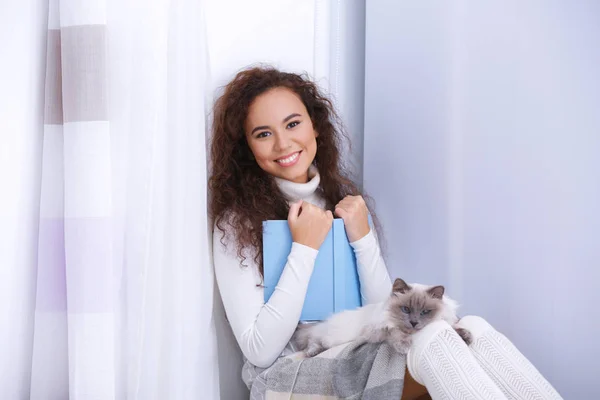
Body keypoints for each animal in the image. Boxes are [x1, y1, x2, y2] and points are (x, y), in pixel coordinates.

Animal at [292, 278, 472, 356]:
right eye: (406, 309)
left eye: (424, 312)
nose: (414, 323)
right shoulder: (381, 329)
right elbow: (397, 332)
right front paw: (404, 347)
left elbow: (454, 327)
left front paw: (466, 336)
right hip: (330, 338)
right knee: (313, 340)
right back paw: (312, 352)